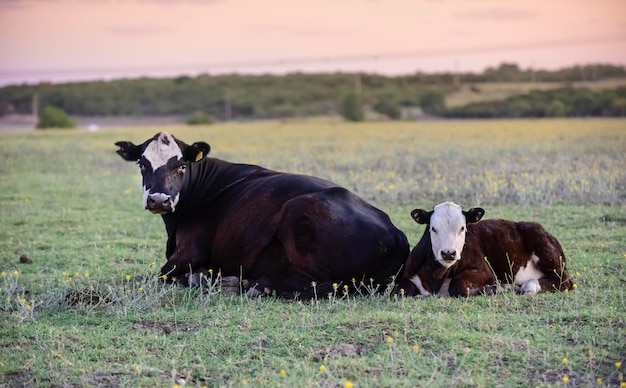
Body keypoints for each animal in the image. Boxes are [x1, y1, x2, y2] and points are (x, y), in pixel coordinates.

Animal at [114, 132, 408, 298]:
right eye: (142, 164)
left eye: (182, 165)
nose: (158, 199)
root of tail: (395, 231)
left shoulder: (190, 251)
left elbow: (164, 275)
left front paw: (202, 278)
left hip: (298, 212)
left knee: (318, 283)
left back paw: (250, 284)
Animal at [398, 202, 572, 296]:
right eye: (433, 228)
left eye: (463, 228)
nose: (448, 253)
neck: (434, 278)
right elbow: (403, 291)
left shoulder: (485, 271)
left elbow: (457, 286)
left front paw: (494, 289)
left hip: (547, 254)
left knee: (563, 281)